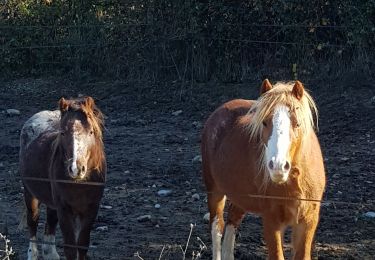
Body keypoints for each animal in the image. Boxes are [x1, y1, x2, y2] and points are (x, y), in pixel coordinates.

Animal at [20, 96, 106, 258]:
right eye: (63, 133)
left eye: (91, 132)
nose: (76, 169)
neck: (80, 184)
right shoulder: (64, 210)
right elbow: (70, 247)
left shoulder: (91, 209)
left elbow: (82, 245)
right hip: (30, 193)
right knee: (32, 222)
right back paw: (32, 254)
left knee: (50, 223)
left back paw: (50, 254)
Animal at [203, 79, 326, 260]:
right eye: (264, 122)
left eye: (297, 123)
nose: (278, 166)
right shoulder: (271, 220)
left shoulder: (308, 221)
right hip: (214, 190)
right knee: (217, 225)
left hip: (240, 195)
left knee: (232, 220)